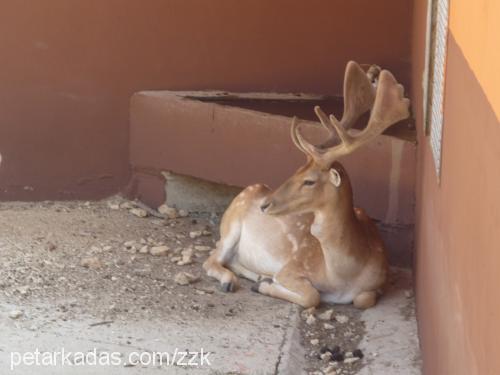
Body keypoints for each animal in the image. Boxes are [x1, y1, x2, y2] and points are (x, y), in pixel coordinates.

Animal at [203, 61, 410, 308]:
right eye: (296, 169)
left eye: (309, 180)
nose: (265, 205)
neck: (342, 277)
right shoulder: (292, 267)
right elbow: (313, 296)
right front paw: (266, 285)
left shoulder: (380, 280)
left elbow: (362, 299)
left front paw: (264, 282)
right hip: (231, 226)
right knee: (212, 257)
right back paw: (232, 281)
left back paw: (258, 277)